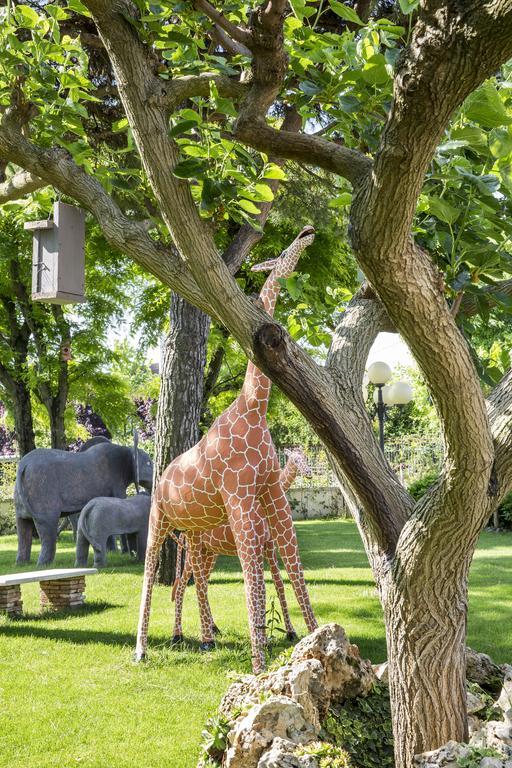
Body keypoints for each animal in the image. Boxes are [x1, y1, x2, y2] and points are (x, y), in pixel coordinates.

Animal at [172, 448, 314, 644]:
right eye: (295, 459)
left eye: (306, 458)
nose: (308, 473)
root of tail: (184, 531)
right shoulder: (259, 546)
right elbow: (261, 587)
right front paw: (266, 636)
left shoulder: (269, 546)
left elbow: (278, 585)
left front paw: (289, 632)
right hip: (195, 553)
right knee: (182, 585)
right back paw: (178, 635)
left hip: (209, 553)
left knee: (203, 585)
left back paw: (213, 628)